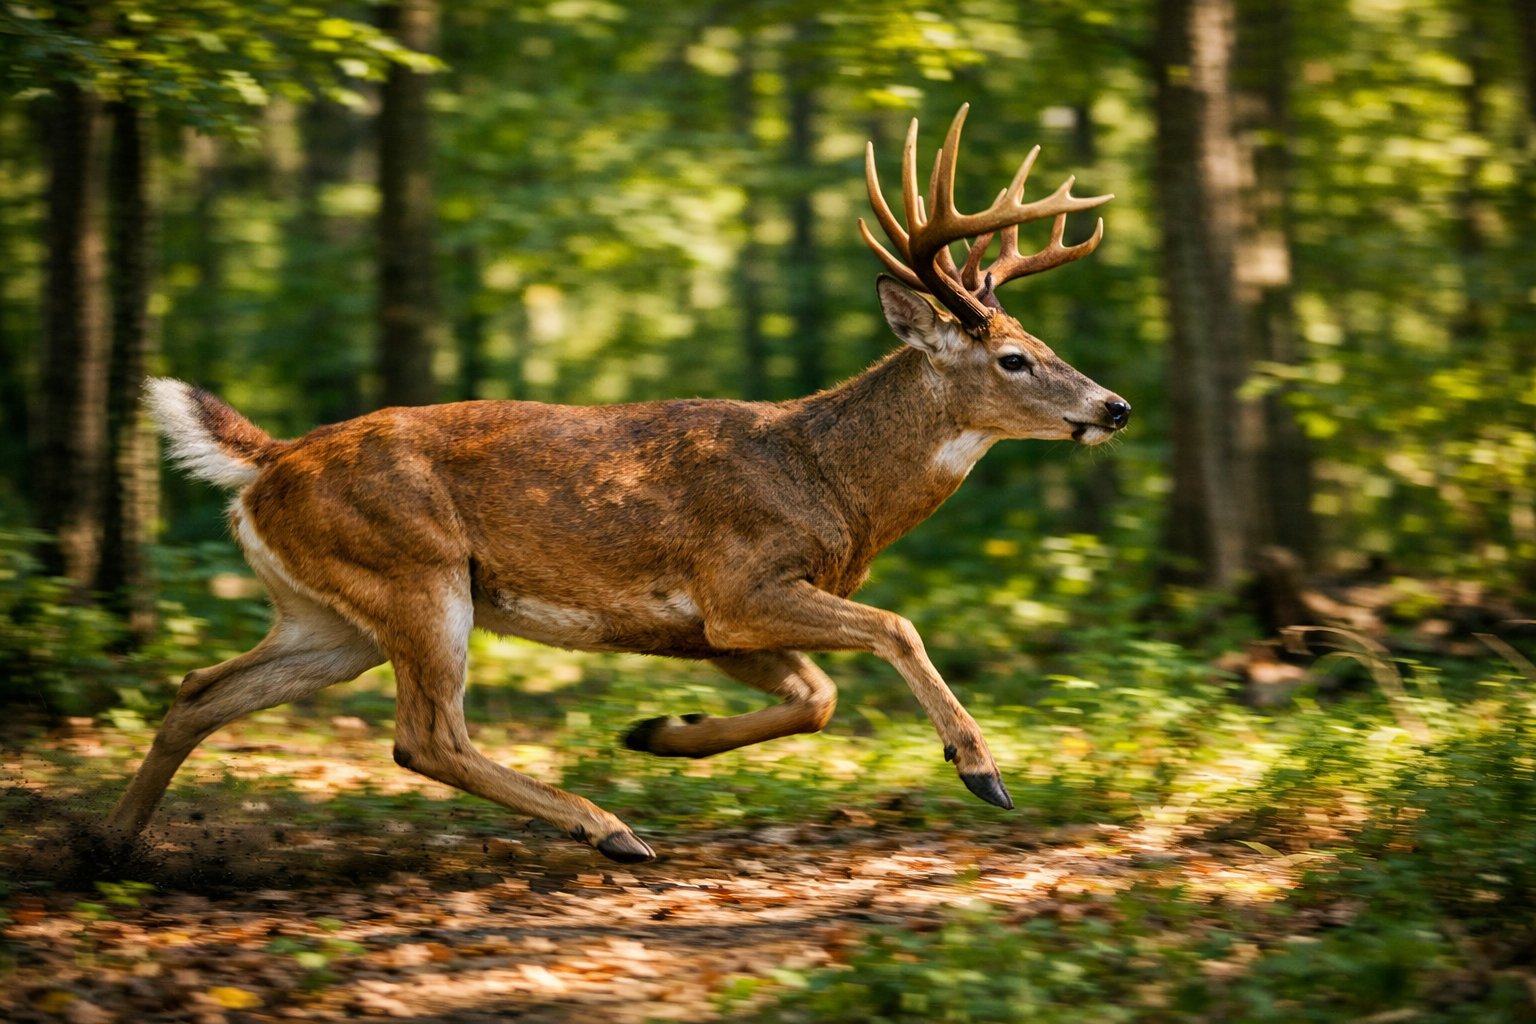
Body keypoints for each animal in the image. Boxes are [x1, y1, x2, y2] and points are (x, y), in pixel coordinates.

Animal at [107, 105, 1129, 863]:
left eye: (1042, 344)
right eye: (1014, 358)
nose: (1114, 405)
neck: (833, 483)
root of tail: (271, 462)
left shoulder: (709, 626)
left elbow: (817, 697)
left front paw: (660, 730)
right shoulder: (737, 583)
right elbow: (895, 629)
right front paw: (981, 770)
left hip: (330, 617)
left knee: (202, 690)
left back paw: (112, 847)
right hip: (416, 573)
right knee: (425, 735)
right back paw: (609, 829)